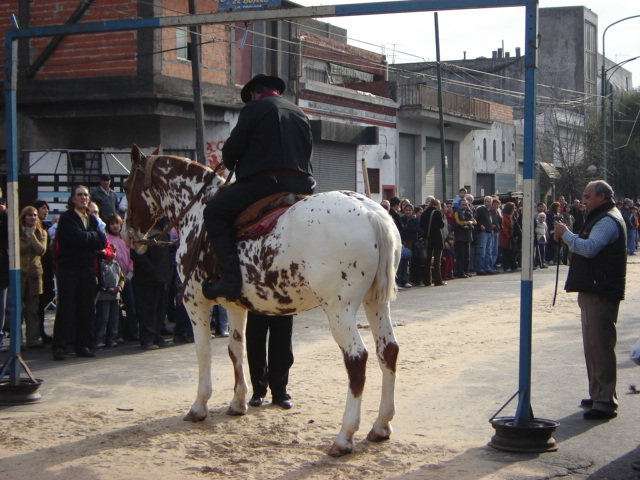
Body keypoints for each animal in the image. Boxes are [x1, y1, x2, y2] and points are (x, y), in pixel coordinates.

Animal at [124, 144, 400, 456]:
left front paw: (199, 406)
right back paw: (381, 425)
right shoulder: (233, 306)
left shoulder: (195, 302)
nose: (129, 236)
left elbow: (203, 352)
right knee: (388, 351)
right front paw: (238, 402)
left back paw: (344, 435)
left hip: (339, 310)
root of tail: (371, 212)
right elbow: (236, 350)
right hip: (375, 303)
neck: (198, 210)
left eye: (127, 185)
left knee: (357, 358)